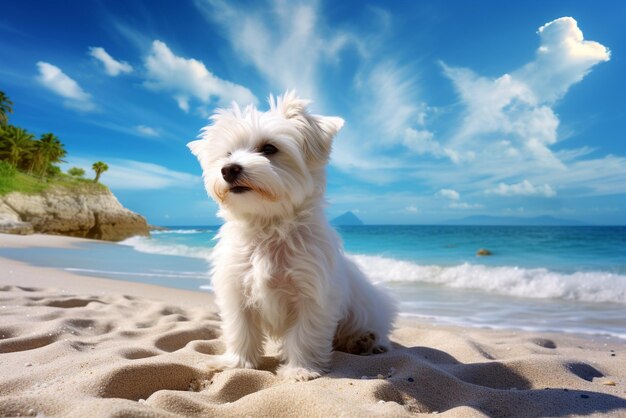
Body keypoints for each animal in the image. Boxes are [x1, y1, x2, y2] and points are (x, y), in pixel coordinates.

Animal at [188, 91, 398, 382]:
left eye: (269, 149)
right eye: (227, 153)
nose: (228, 169)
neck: (268, 225)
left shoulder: (313, 292)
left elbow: (305, 333)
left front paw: (300, 369)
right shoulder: (235, 288)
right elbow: (240, 328)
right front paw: (237, 363)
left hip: (368, 306)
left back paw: (365, 340)